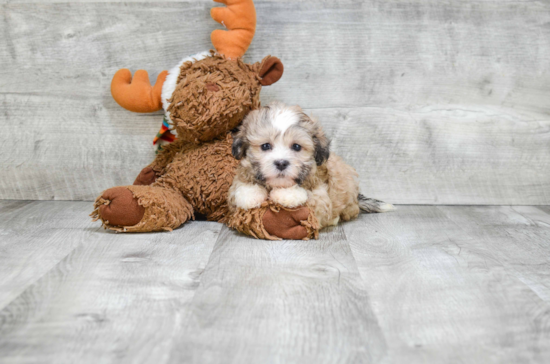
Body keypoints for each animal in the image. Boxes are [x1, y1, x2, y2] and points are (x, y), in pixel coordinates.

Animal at [230, 100, 396, 230]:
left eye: (296, 147)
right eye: (265, 146)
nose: (281, 163)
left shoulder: (321, 200)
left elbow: (309, 199)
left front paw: (286, 195)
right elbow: (240, 184)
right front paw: (250, 194)